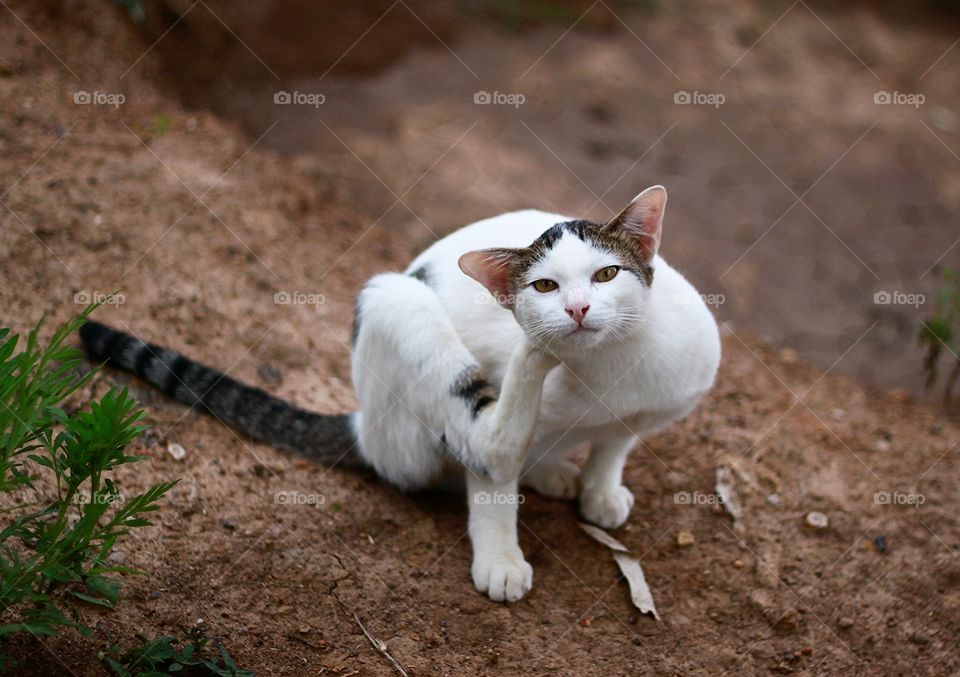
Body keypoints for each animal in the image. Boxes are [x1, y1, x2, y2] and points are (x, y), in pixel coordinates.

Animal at [80, 184, 720, 604]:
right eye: (543, 286)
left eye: (607, 275)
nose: (577, 310)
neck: (611, 365)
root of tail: (363, 422)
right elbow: (491, 482)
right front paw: (501, 559)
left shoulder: (655, 403)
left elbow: (617, 442)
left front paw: (601, 488)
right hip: (397, 305)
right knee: (490, 442)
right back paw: (534, 375)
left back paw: (557, 469)